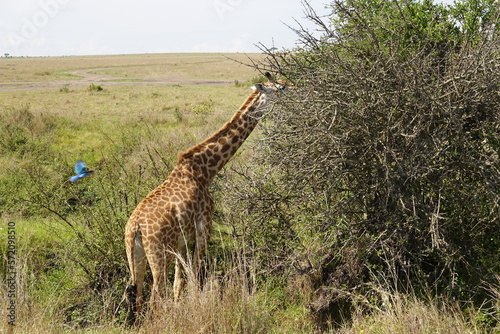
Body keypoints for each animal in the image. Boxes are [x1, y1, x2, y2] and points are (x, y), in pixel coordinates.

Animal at [125, 72, 288, 324]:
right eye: (281, 88)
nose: (298, 92)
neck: (206, 169)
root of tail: (135, 227)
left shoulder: (181, 240)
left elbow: (180, 282)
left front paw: (182, 310)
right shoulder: (205, 224)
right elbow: (196, 273)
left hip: (136, 257)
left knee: (139, 296)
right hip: (158, 255)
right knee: (154, 297)